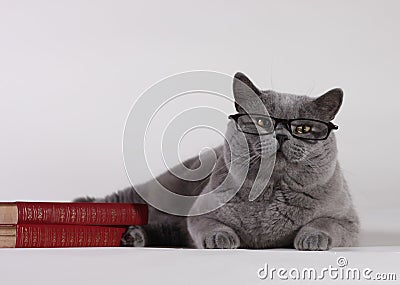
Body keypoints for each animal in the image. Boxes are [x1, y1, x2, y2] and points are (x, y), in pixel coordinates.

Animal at [75, 72, 360, 250]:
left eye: (303, 129)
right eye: (261, 122)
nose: (280, 135)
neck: (270, 192)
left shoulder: (348, 221)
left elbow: (324, 223)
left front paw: (312, 239)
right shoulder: (200, 211)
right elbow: (210, 224)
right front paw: (222, 238)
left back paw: (132, 236)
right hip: (160, 191)